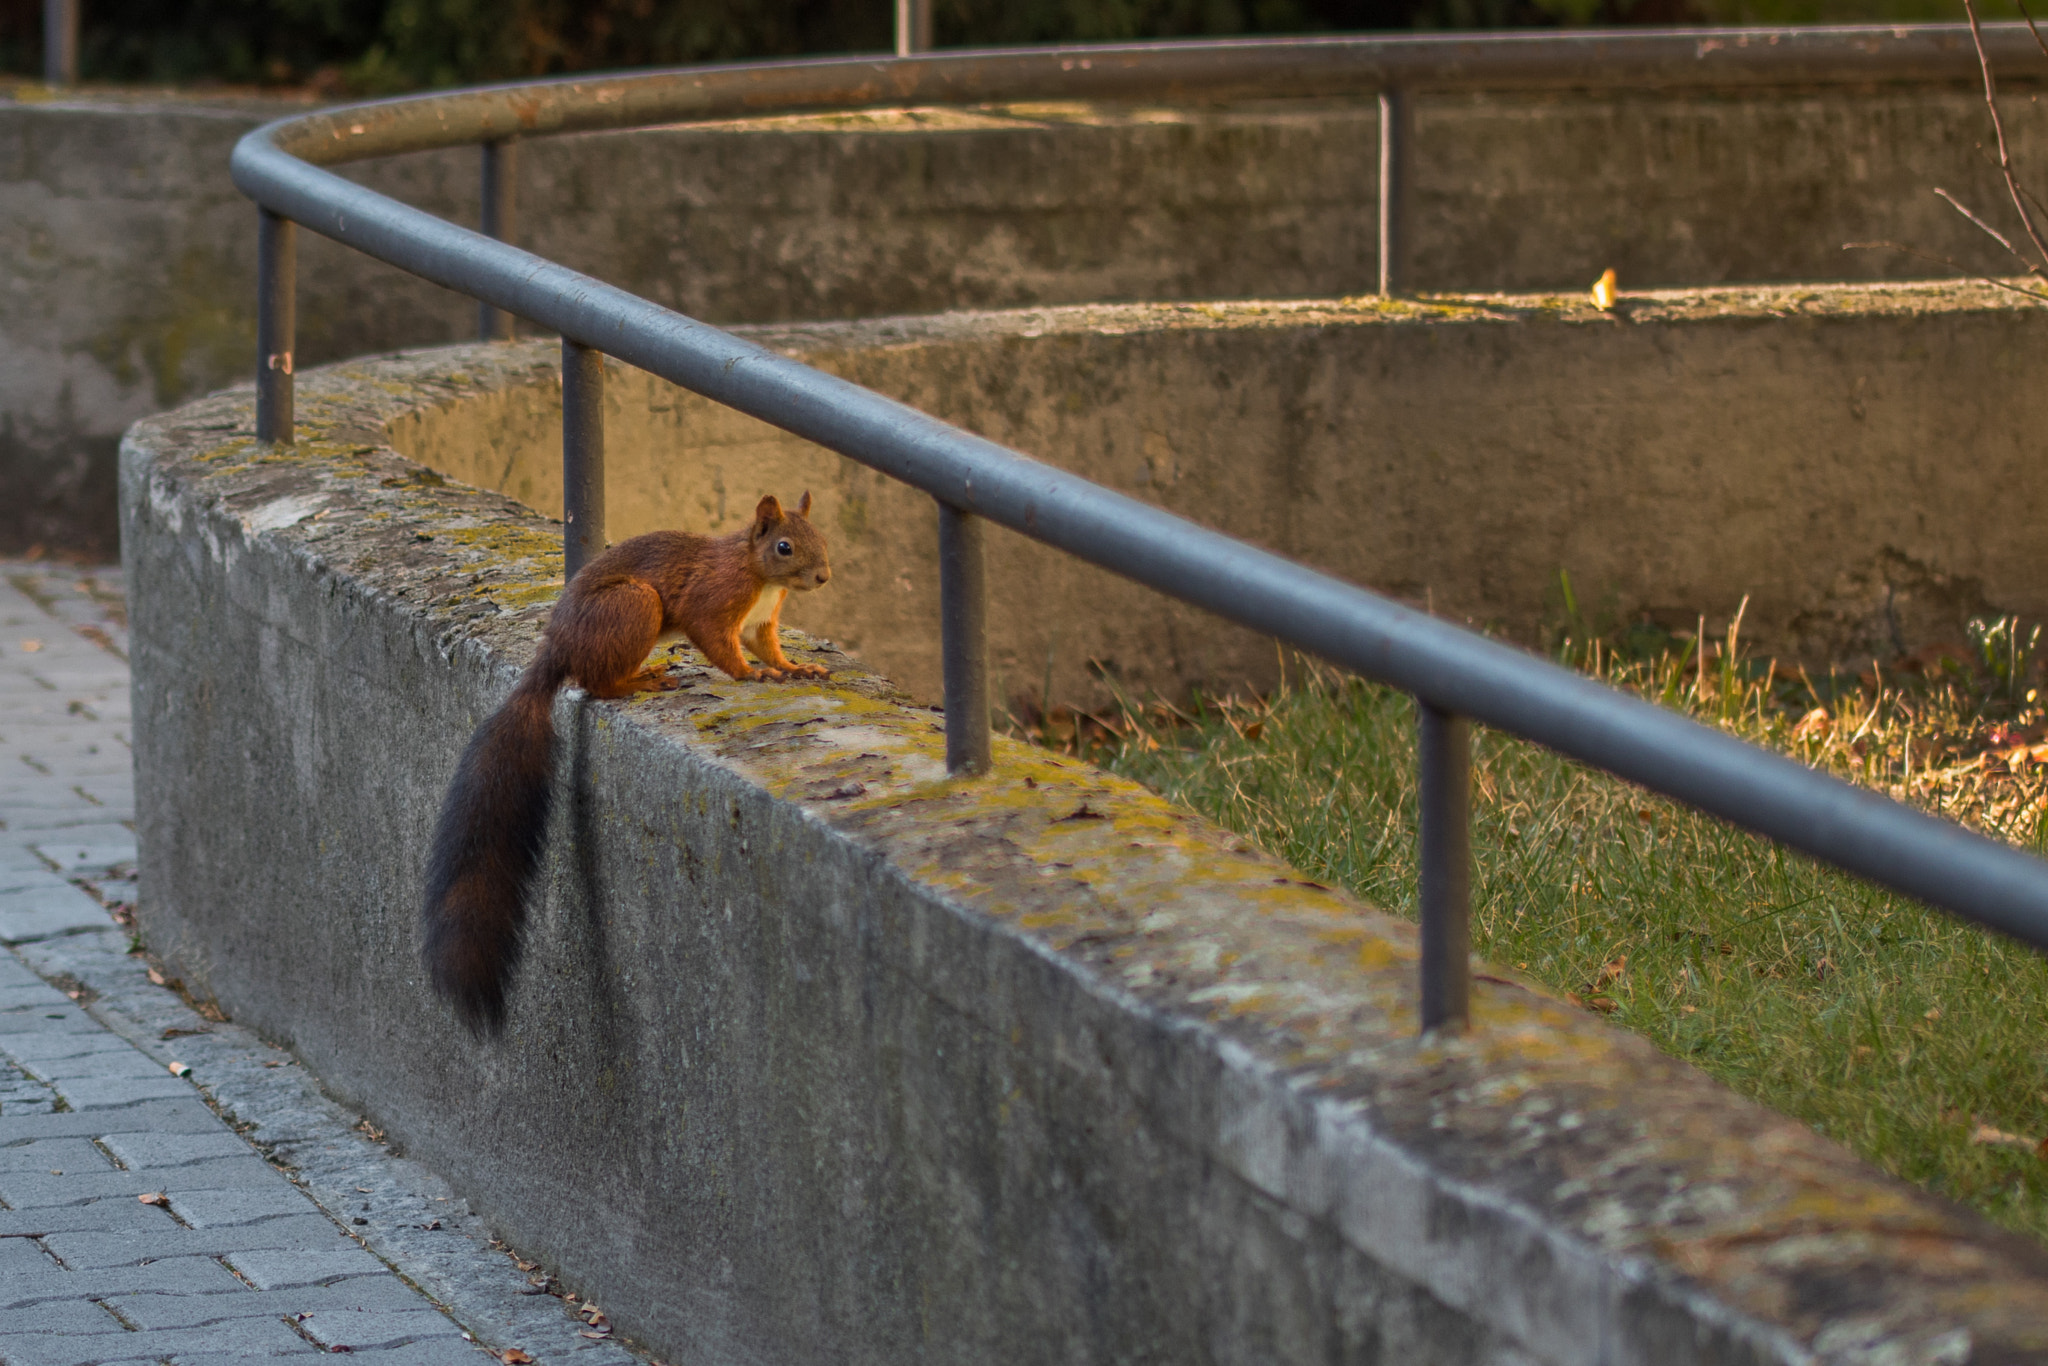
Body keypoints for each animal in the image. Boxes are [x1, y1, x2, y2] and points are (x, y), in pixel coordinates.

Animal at [421, 492, 832, 1034]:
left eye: (821, 537)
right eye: (784, 547)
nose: (823, 576)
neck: (757, 572)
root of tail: (557, 648)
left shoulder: (763, 621)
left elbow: (770, 648)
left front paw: (795, 668)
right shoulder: (711, 600)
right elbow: (718, 643)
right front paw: (753, 676)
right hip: (635, 606)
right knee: (596, 685)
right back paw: (643, 681)